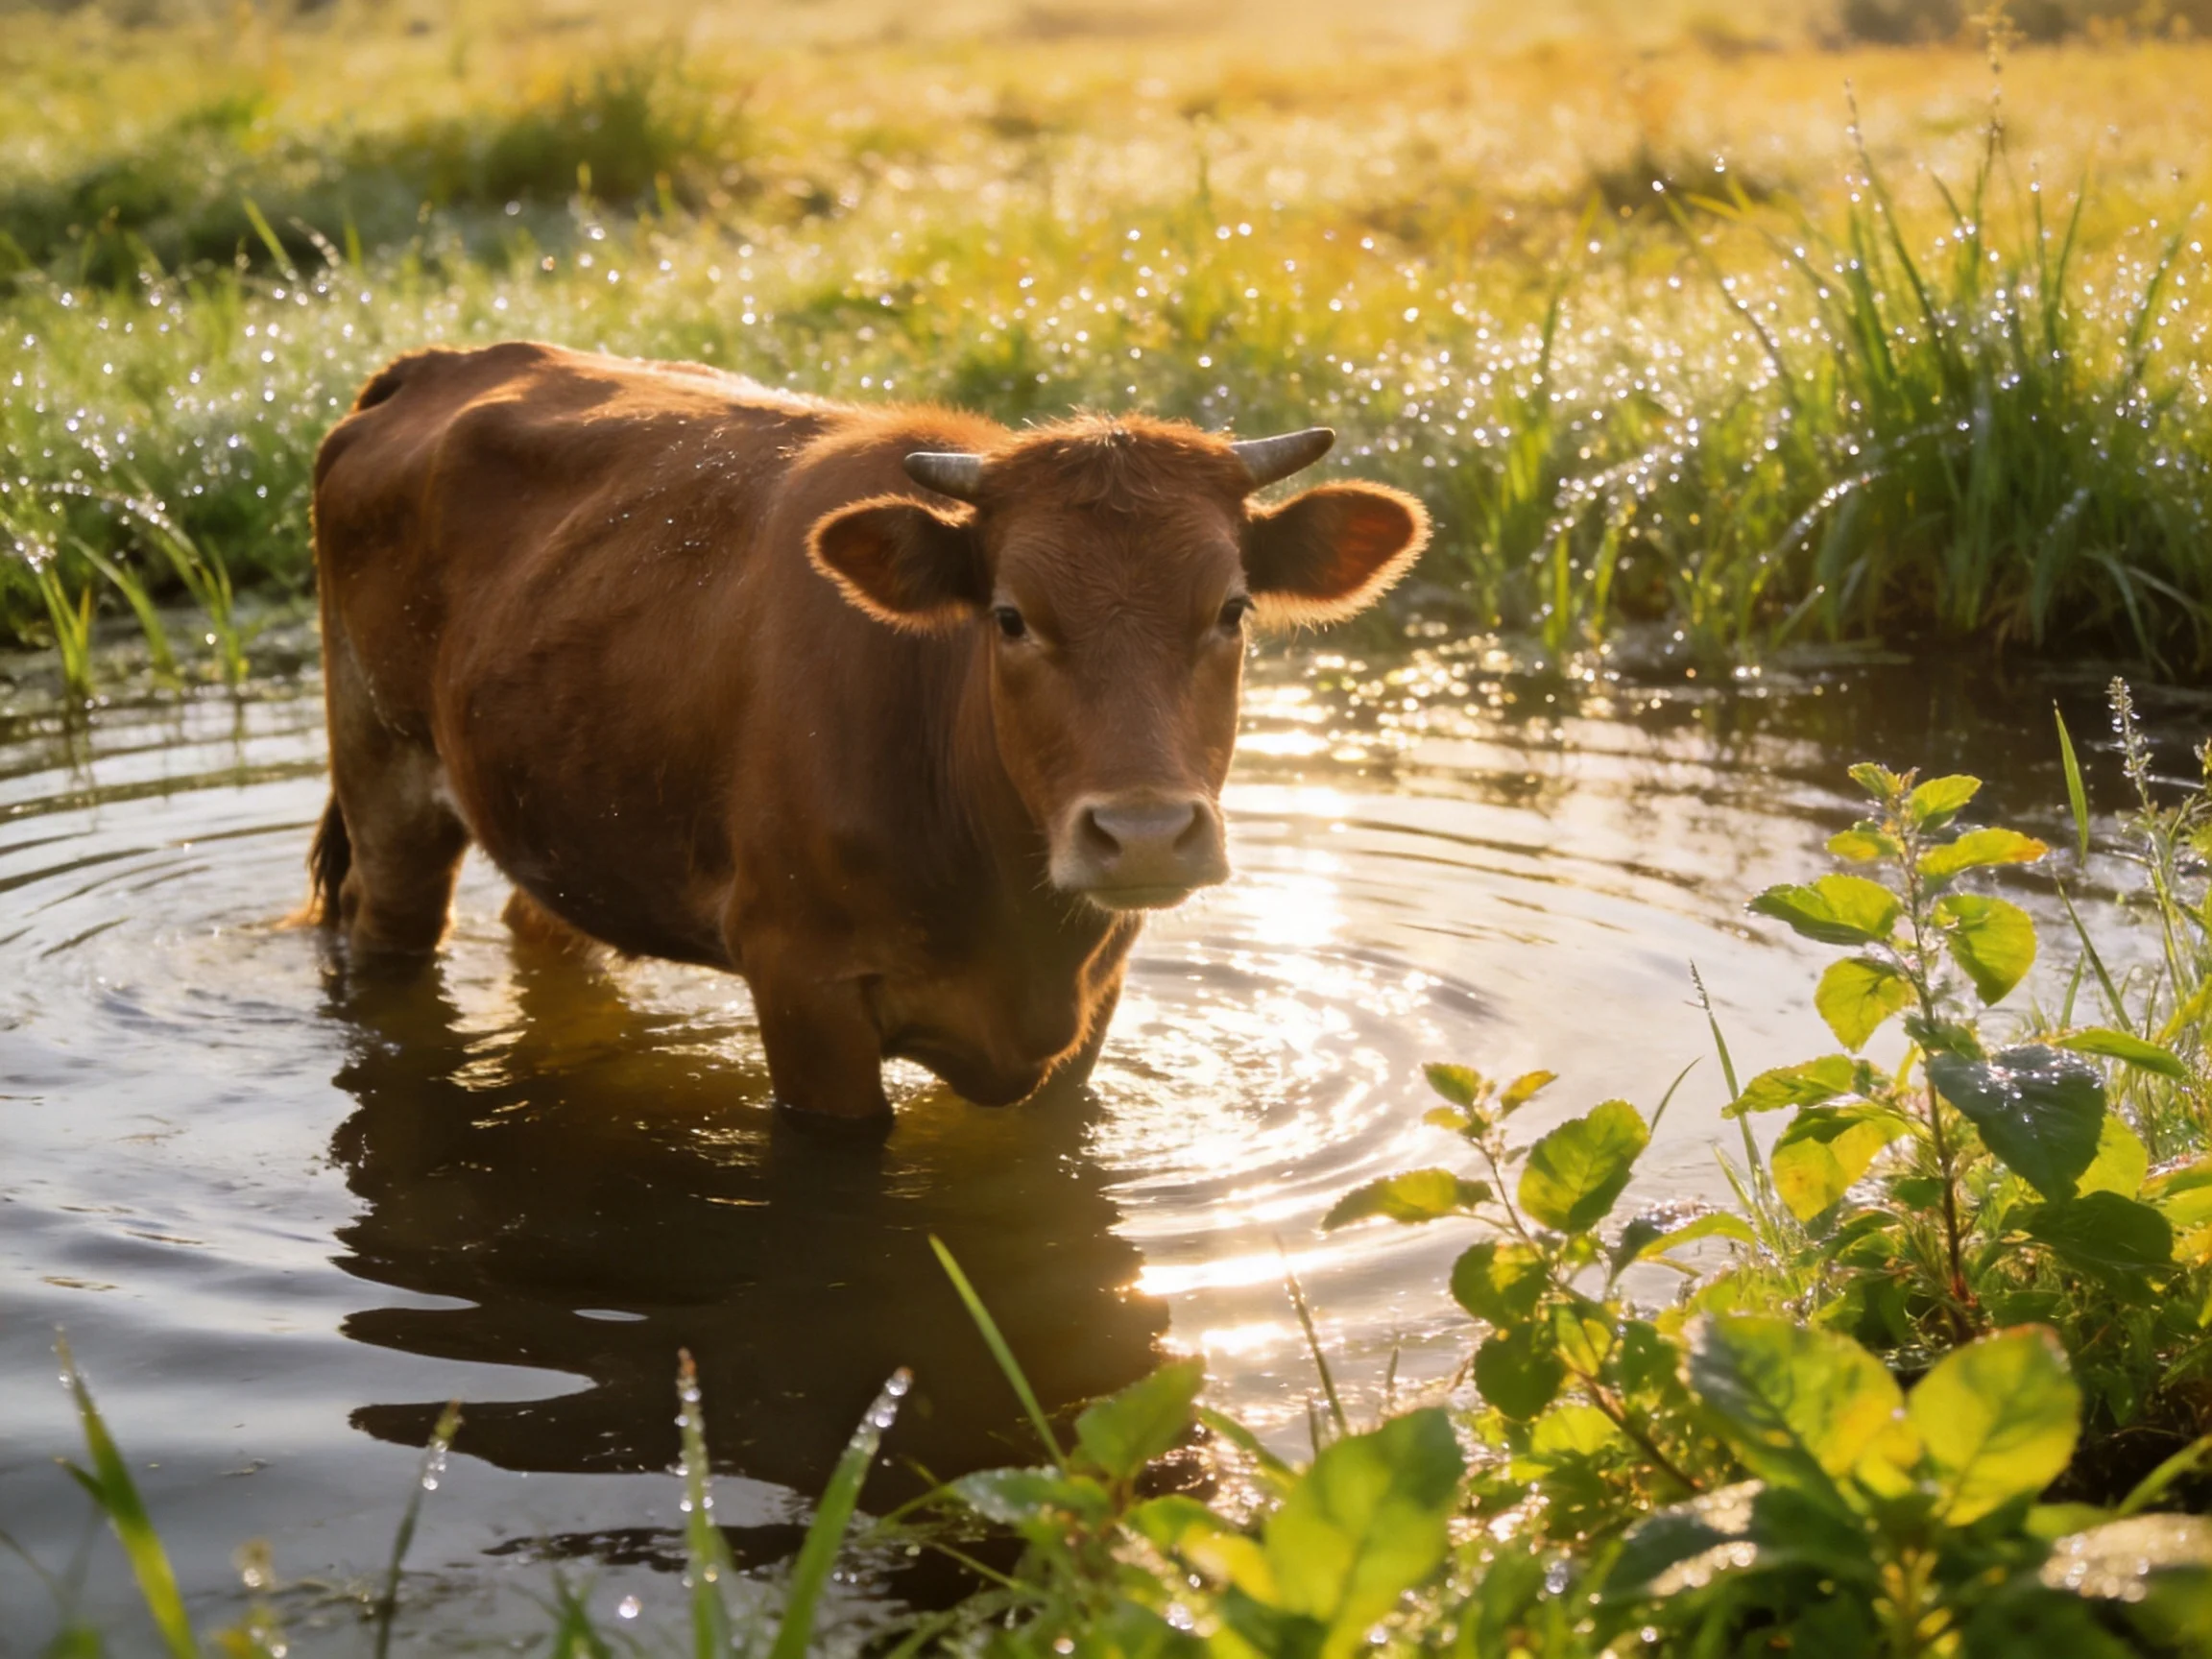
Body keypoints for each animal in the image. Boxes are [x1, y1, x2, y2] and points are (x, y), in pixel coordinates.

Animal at [304, 341, 1429, 1131]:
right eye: (1010, 617)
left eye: (1232, 609)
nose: (1145, 835)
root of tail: (438, 366)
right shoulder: (802, 992)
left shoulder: (1096, 1003)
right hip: (386, 781)